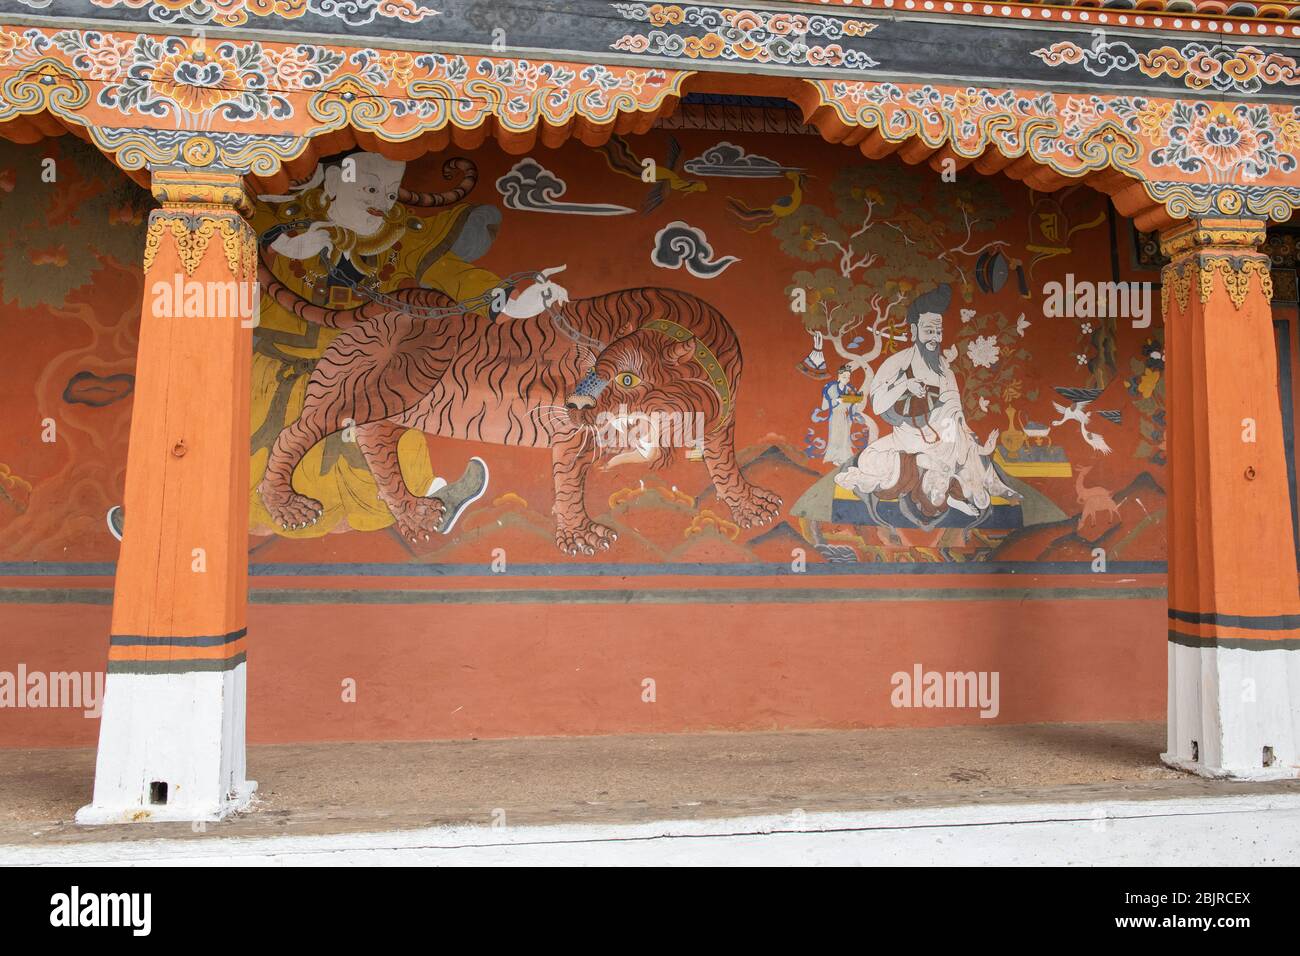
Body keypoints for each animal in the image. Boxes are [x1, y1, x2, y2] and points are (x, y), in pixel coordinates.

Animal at [254, 269, 780, 554]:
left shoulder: (723, 420)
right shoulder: (572, 432)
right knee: (296, 433)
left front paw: (748, 504)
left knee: (374, 442)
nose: (575, 403)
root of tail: (399, 299)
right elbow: (569, 484)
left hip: (397, 403)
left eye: (627, 379)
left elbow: (724, 465)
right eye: (594, 369)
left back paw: (414, 514)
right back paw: (286, 505)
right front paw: (580, 536)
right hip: (374, 387)